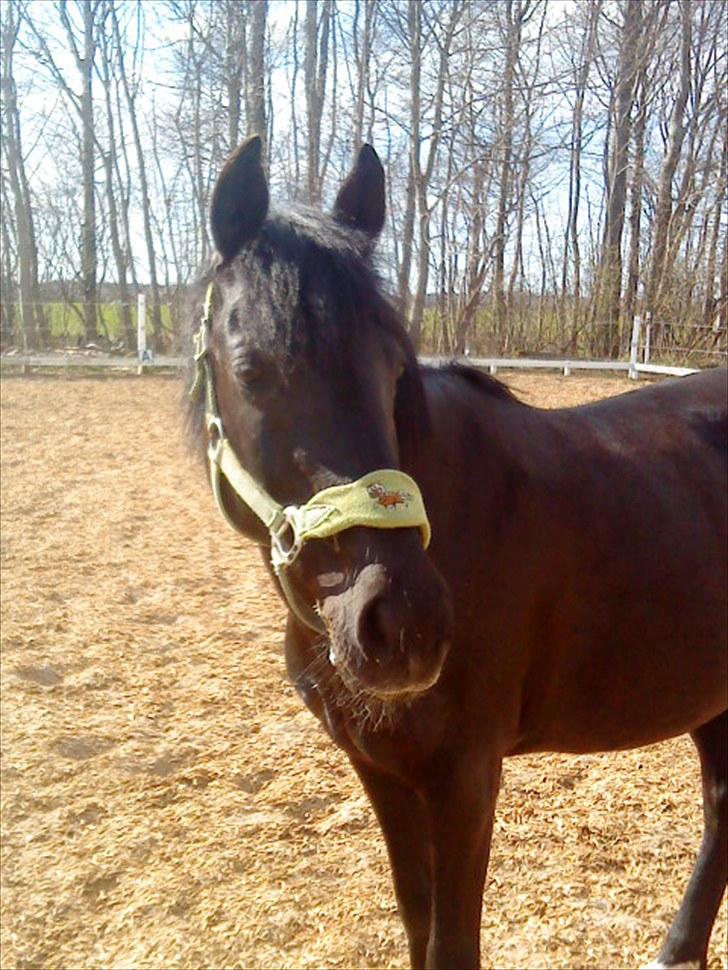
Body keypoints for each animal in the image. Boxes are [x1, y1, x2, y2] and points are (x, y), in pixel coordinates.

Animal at [187, 136, 727, 970]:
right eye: (251, 370)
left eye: (390, 368)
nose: (402, 624)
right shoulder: (379, 769)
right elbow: (419, 923)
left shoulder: (464, 778)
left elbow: (451, 941)